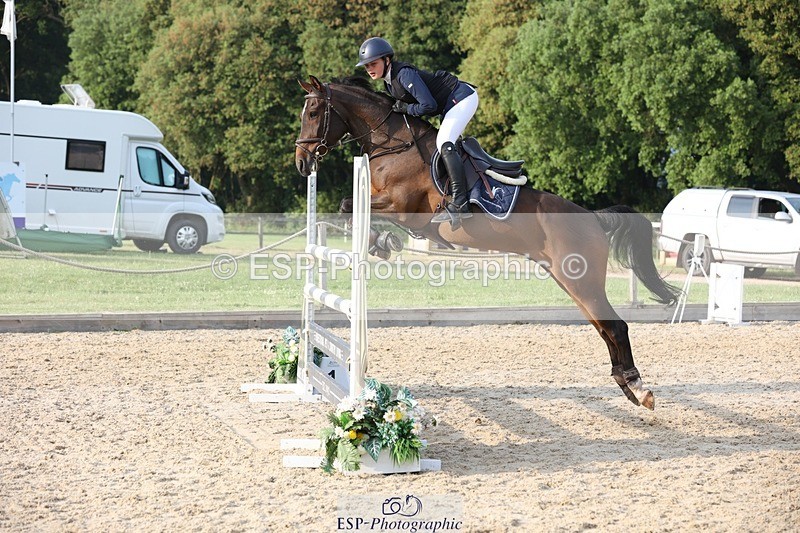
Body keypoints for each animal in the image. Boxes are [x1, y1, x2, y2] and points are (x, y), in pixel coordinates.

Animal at [295, 75, 680, 410]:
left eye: (313, 113)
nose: (302, 162)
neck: (393, 143)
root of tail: (593, 218)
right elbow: (347, 207)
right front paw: (380, 242)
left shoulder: (402, 206)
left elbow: (349, 205)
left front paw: (383, 241)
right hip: (571, 281)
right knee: (604, 327)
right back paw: (626, 384)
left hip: (582, 282)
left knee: (615, 326)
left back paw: (639, 388)